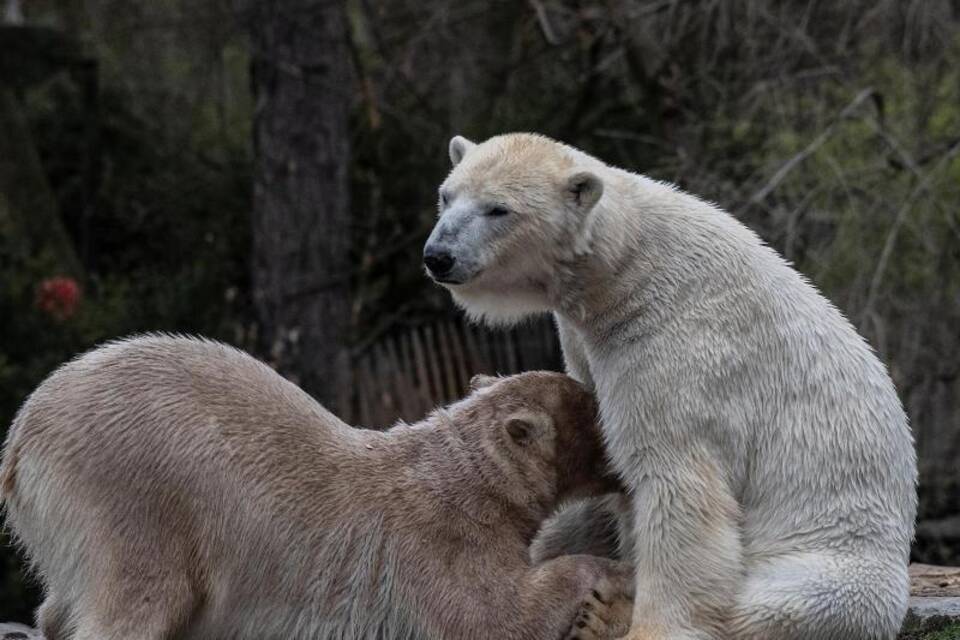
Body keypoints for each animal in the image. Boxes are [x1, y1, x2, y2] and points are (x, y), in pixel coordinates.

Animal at [3, 336, 632, 640]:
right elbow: (494, 616)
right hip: (129, 492)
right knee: (143, 595)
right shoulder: (436, 546)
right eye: (597, 414)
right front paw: (612, 573)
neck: (466, 479)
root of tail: (22, 440)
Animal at [424, 132, 920, 636]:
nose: (438, 256)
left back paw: (607, 614)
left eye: (498, 209)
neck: (625, 270)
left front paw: (645, 624)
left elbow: (676, 482)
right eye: (446, 196)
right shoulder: (585, 345)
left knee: (776, 606)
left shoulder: (678, 347)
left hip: (834, 559)